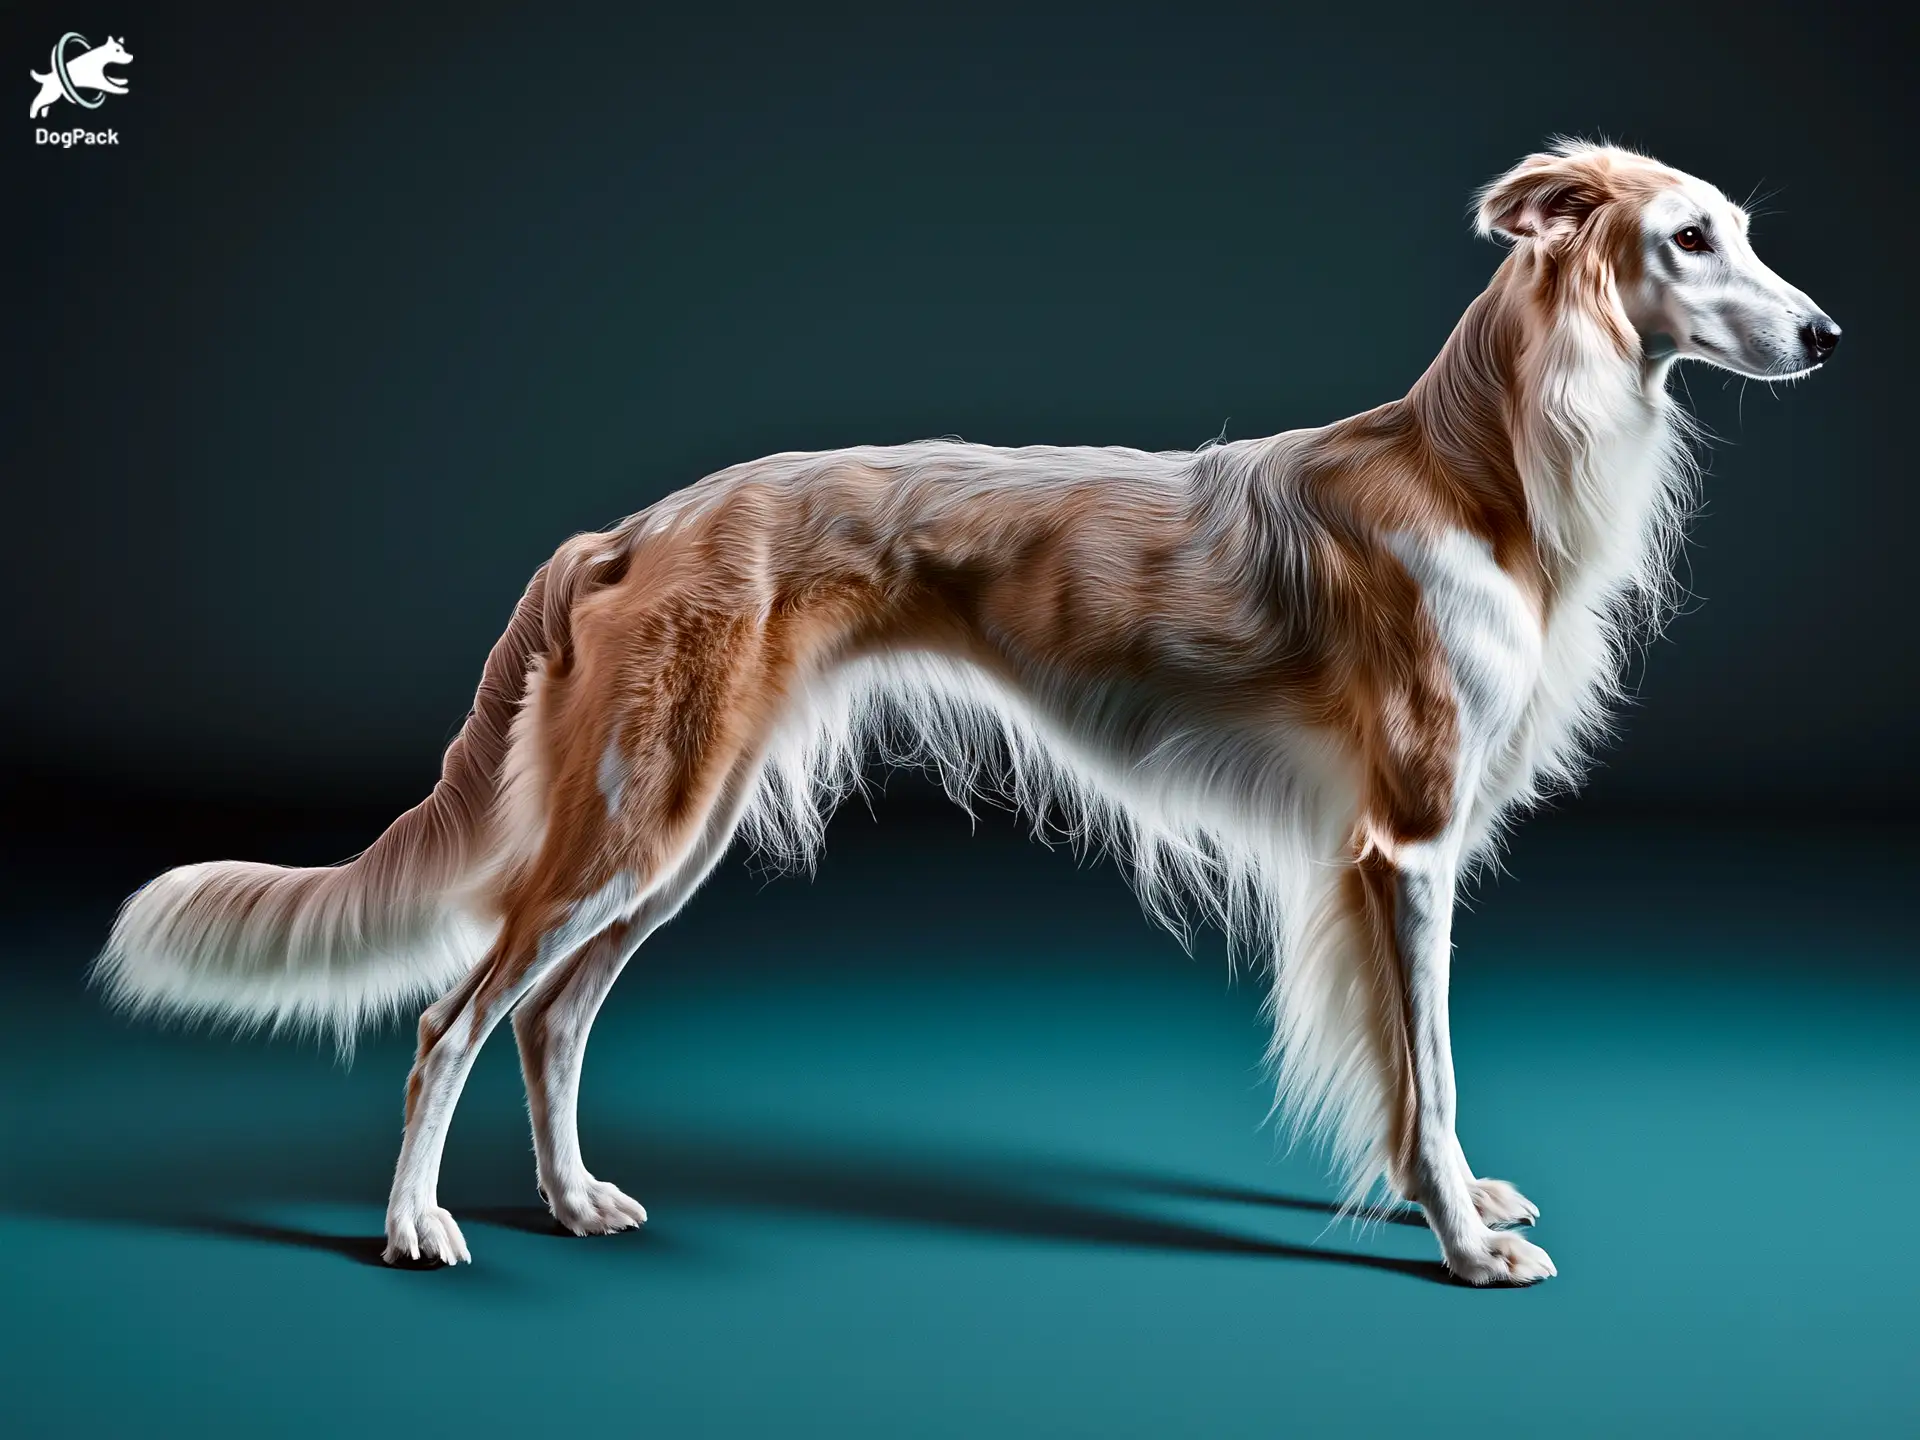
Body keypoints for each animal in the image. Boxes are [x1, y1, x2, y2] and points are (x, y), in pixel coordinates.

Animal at [97, 144, 1835, 1282]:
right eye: (1691, 238)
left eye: (1744, 232)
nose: (1828, 337)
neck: (1479, 474)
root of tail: (629, 528)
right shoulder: (1406, 843)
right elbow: (1437, 1070)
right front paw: (1465, 1243)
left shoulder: (1374, 860)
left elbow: (1416, 1084)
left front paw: (1448, 1203)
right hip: (638, 815)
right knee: (453, 1020)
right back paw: (413, 1225)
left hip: (678, 823)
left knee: (550, 1017)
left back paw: (576, 1200)